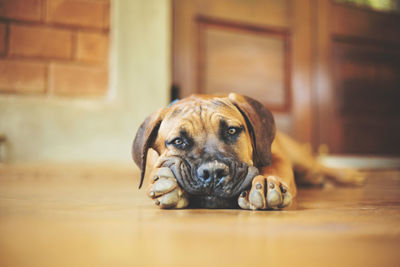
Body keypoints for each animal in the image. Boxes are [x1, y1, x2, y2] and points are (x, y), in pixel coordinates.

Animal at [132, 93, 366, 210]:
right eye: (179, 141)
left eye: (232, 130)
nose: (213, 172)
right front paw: (169, 187)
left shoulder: (277, 157)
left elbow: (275, 169)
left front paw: (267, 183)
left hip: (298, 154)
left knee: (320, 164)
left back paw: (348, 175)